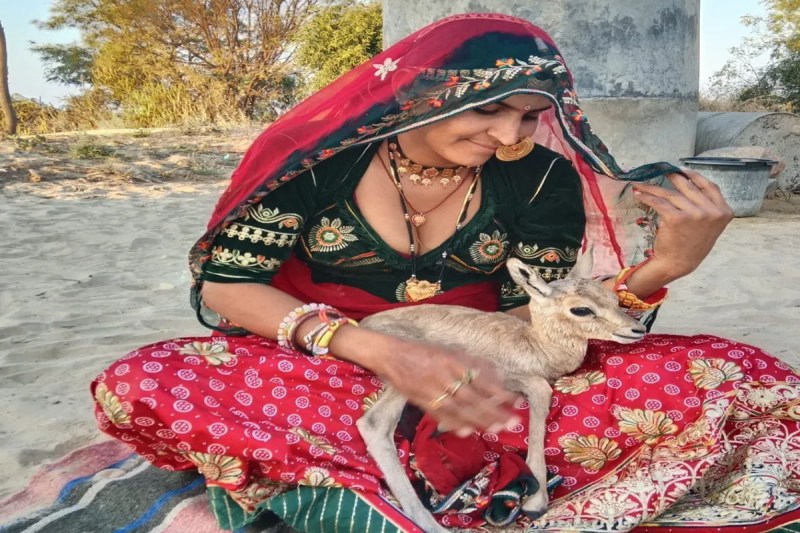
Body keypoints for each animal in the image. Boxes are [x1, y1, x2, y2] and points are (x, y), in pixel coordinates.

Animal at [357, 255, 646, 532]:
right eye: (581, 309)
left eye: (613, 298)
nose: (638, 329)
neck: (538, 347)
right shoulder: (514, 377)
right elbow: (540, 393)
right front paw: (535, 500)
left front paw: (444, 424)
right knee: (374, 422)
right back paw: (428, 523)